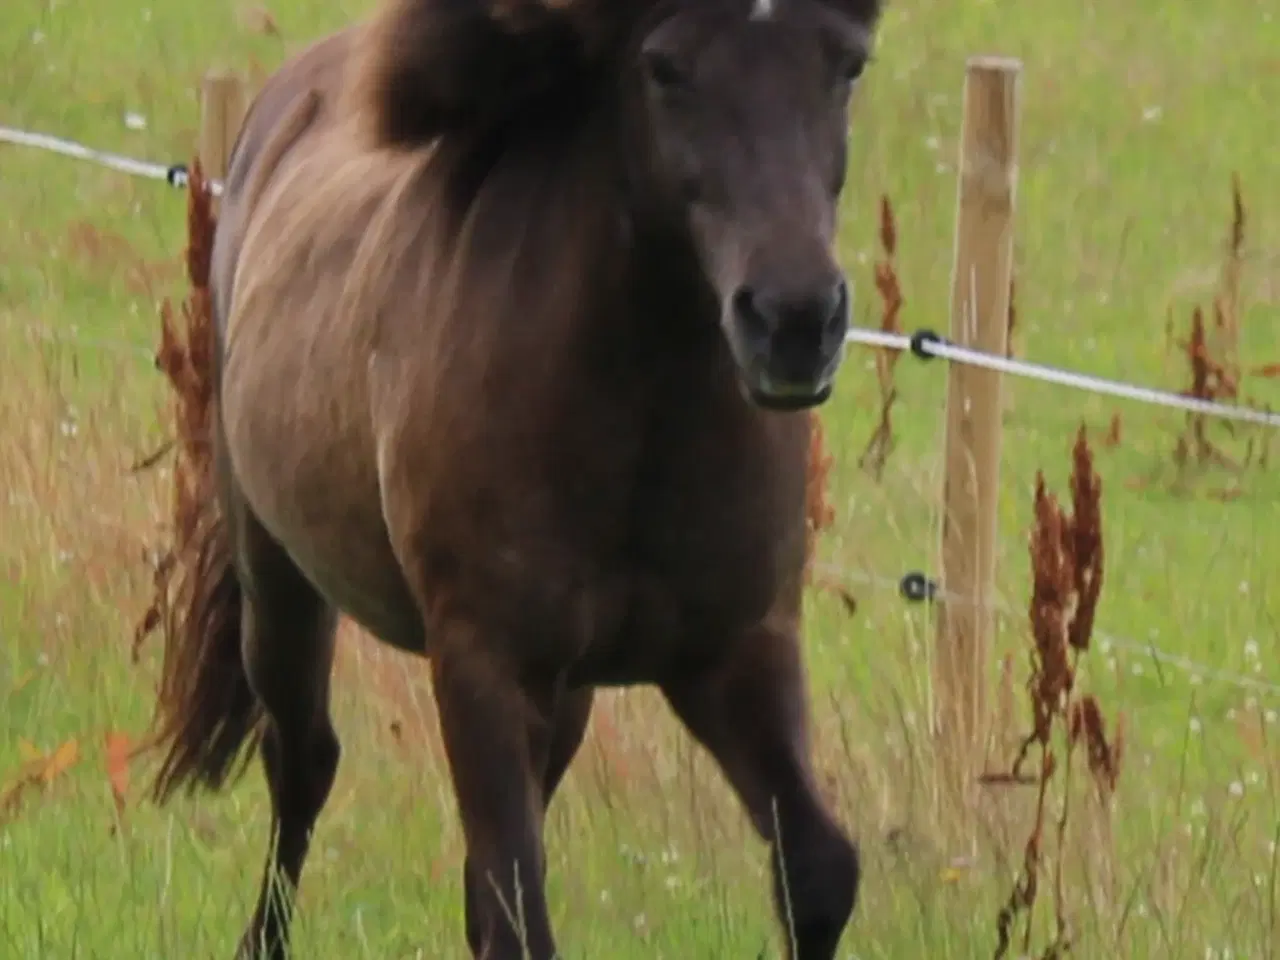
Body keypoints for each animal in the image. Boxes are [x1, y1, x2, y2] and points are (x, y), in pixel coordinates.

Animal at [147, 0, 880, 957]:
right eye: (665, 69)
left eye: (847, 66)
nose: (794, 322)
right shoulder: (483, 663)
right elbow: (516, 915)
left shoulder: (737, 648)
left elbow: (820, 869)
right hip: (278, 580)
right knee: (301, 761)